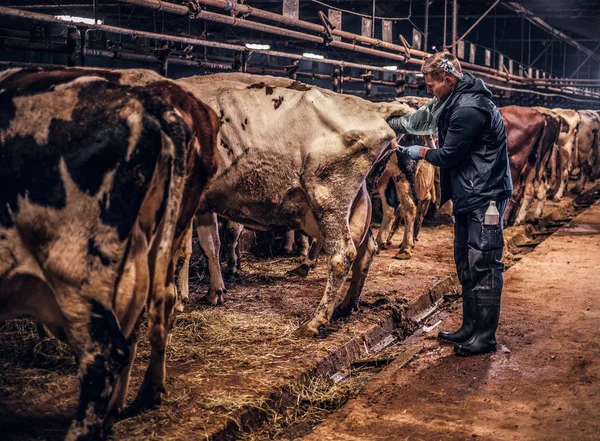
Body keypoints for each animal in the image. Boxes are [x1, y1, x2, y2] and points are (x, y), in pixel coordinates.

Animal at [173, 73, 412, 334]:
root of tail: (375, 108)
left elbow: (179, 252)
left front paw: (179, 300)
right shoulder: (203, 204)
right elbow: (210, 244)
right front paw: (213, 293)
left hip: (327, 197)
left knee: (343, 254)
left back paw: (315, 321)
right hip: (358, 201)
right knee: (366, 248)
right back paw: (345, 306)